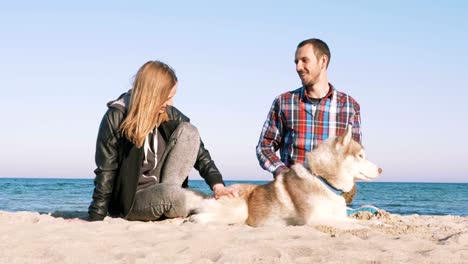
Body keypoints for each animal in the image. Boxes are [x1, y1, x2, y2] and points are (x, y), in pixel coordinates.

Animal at [188, 126, 382, 227]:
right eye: (361, 156)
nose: (380, 169)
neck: (323, 181)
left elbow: (358, 220)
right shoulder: (315, 220)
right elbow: (356, 223)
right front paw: (377, 224)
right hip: (239, 209)